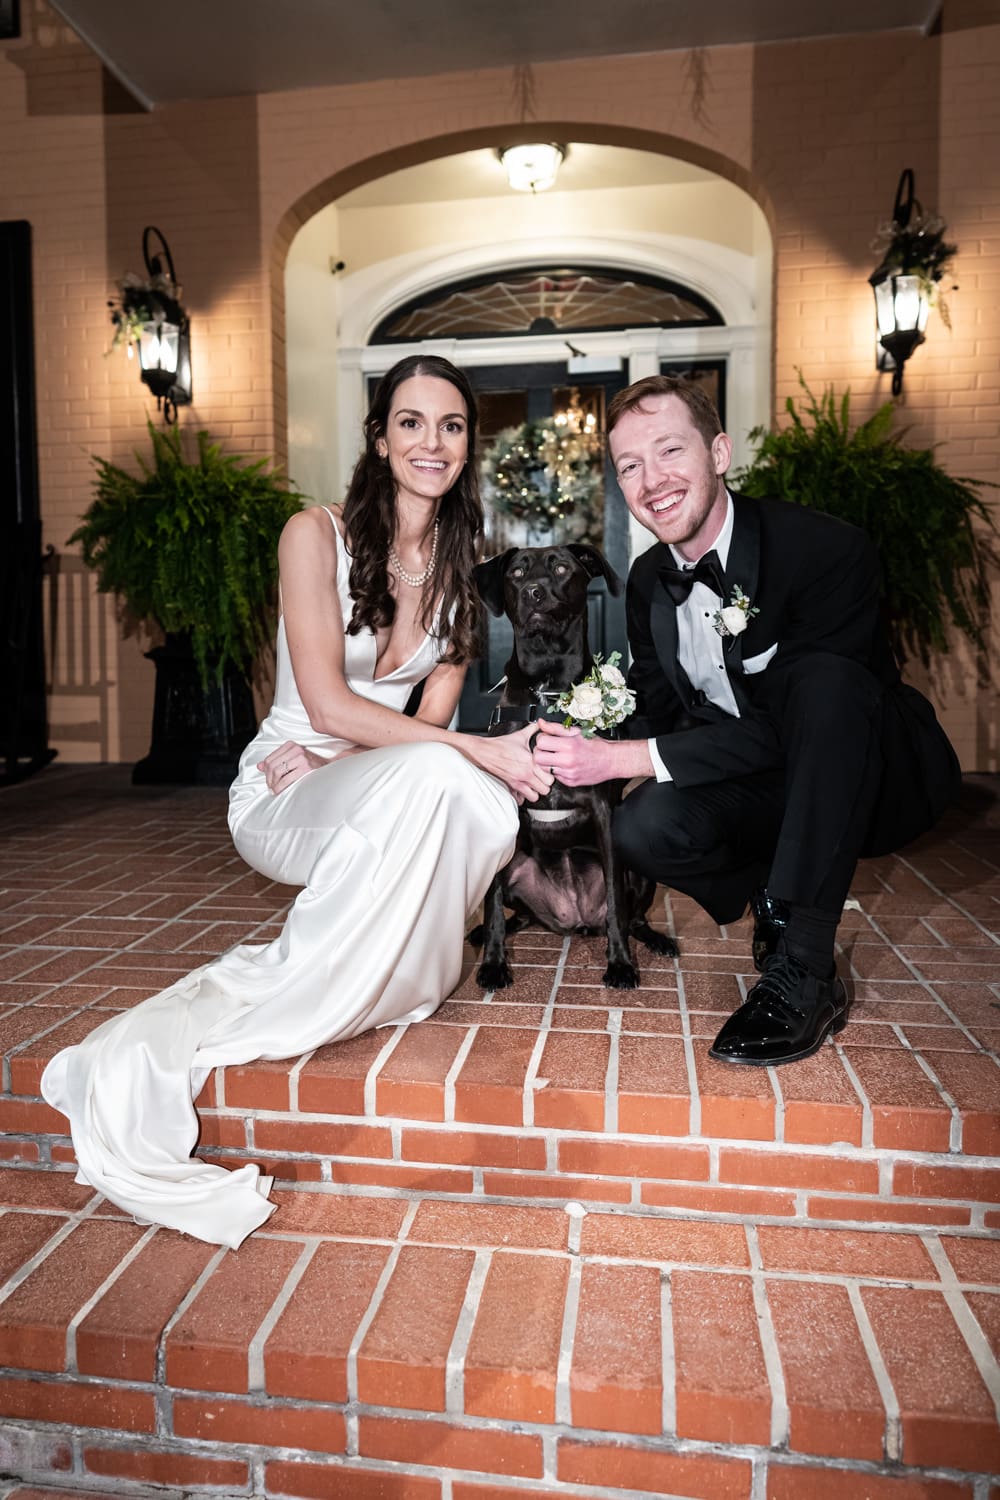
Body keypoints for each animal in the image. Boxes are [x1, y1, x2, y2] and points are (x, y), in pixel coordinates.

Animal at [470, 546, 677, 990]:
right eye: (516, 573)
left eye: (562, 568)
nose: (533, 592)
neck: (546, 692)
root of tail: (575, 919)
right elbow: (492, 903)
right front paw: (493, 963)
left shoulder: (603, 813)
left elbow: (617, 905)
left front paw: (620, 964)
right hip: (516, 862)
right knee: (518, 914)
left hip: (640, 870)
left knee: (633, 916)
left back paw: (656, 939)